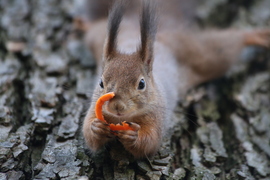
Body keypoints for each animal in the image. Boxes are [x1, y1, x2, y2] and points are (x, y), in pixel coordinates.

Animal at [81, 0, 270, 158]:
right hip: (97, 38)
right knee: (93, 29)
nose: (117, 107)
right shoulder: (93, 109)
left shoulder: (158, 116)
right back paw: (82, 24)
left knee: (228, 43)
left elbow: (150, 142)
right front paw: (96, 128)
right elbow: (88, 135)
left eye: (141, 84)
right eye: (101, 83)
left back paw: (258, 36)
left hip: (205, 55)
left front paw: (133, 136)